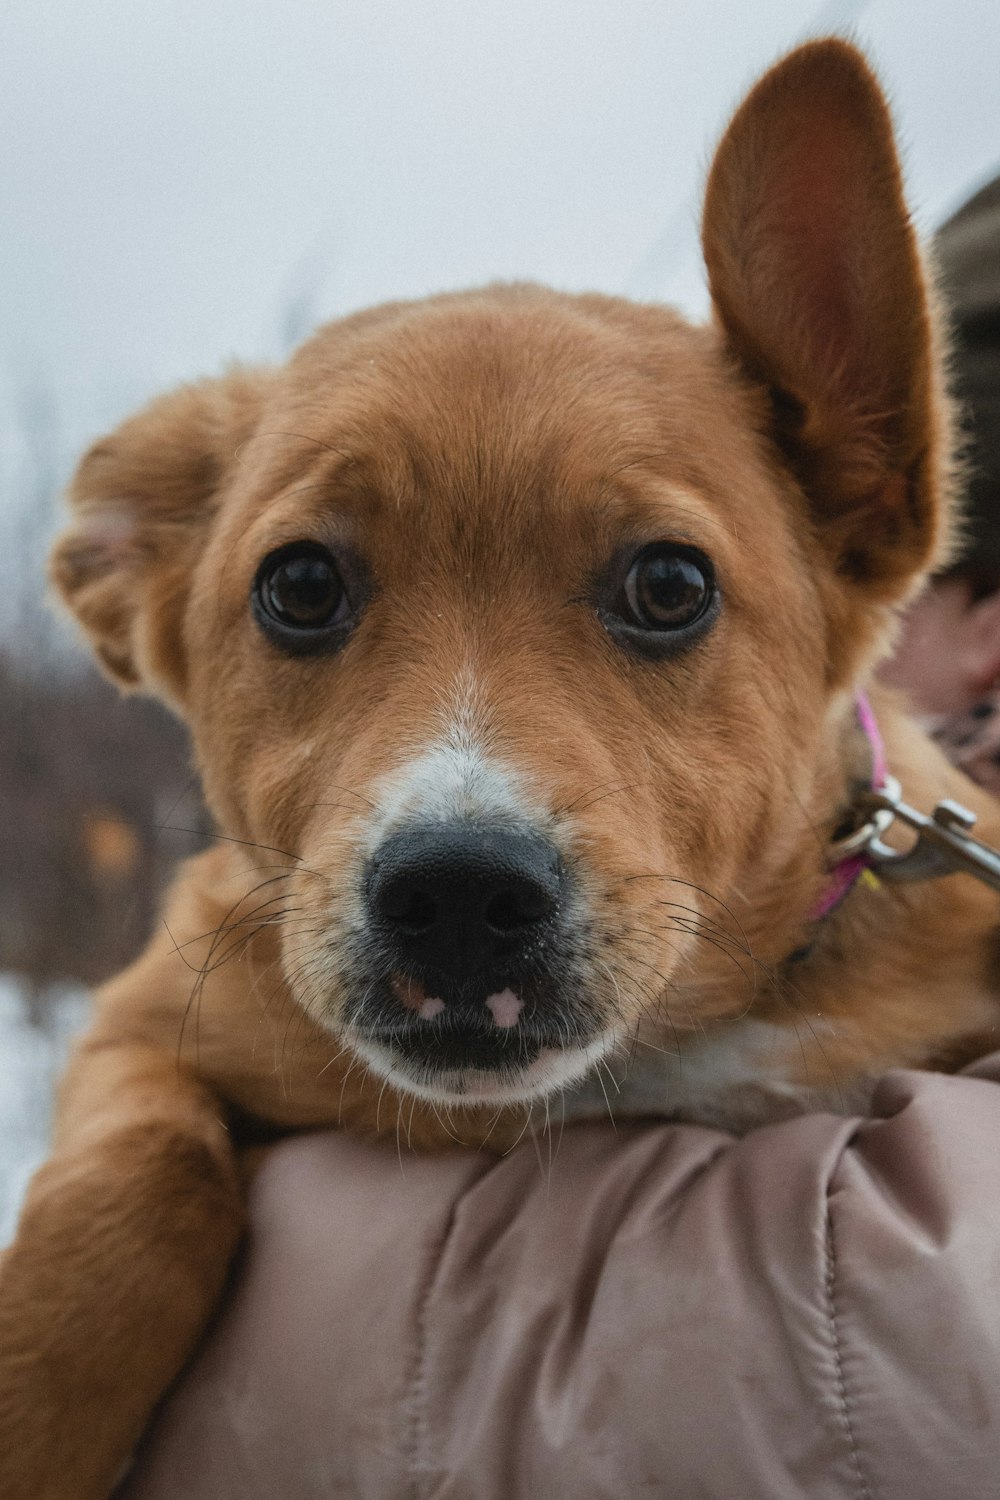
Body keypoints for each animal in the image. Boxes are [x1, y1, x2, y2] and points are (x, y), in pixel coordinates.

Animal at [3, 35, 995, 1500]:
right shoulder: (141, 1018)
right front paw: (36, 1401)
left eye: (669, 585)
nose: (459, 896)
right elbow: (143, 1179)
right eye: (301, 586)